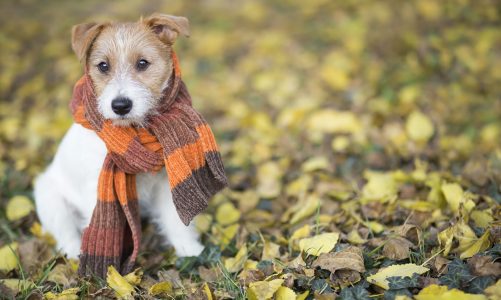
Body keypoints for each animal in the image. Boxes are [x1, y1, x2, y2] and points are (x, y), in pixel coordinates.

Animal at [33, 13, 203, 258]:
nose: (120, 105)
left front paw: (189, 249)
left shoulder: (165, 181)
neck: (134, 132)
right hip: (50, 199)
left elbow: (175, 218)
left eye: (142, 63)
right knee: (65, 231)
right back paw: (75, 252)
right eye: (103, 66)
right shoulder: (97, 190)